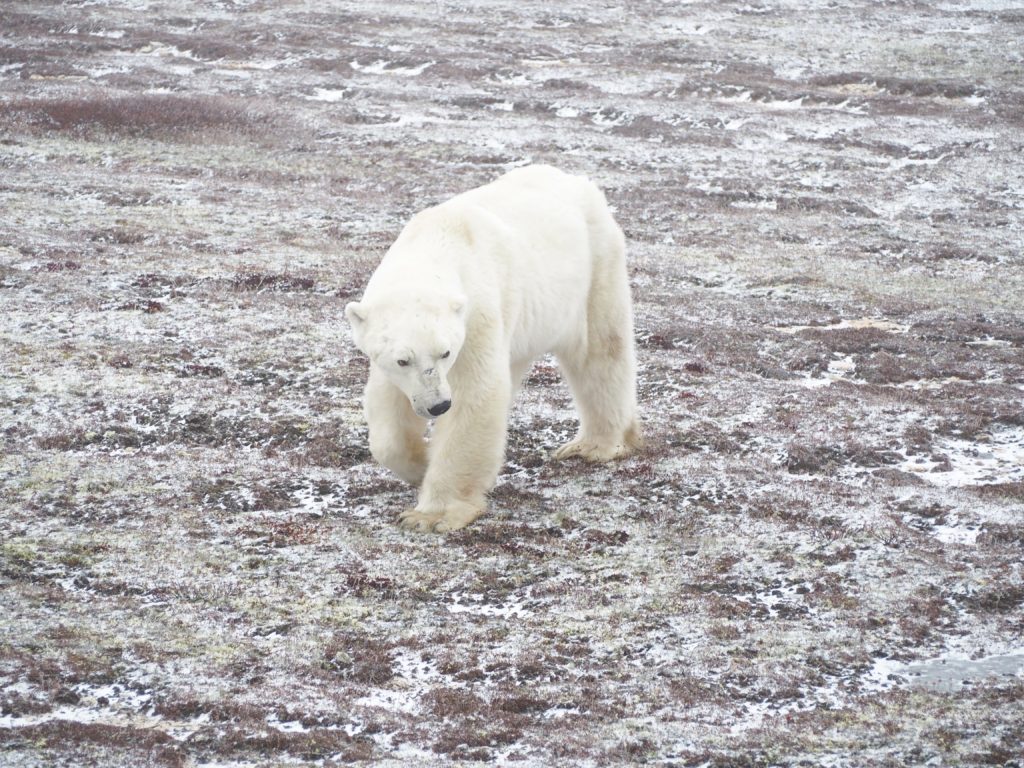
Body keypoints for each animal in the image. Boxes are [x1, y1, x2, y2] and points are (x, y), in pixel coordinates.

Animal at [348, 165, 643, 532]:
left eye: (446, 352)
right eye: (402, 360)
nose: (437, 405)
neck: (436, 242)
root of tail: (576, 179)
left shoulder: (477, 315)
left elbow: (475, 395)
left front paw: (431, 515)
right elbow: (387, 412)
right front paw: (419, 464)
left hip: (594, 268)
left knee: (599, 352)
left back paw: (594, 445)